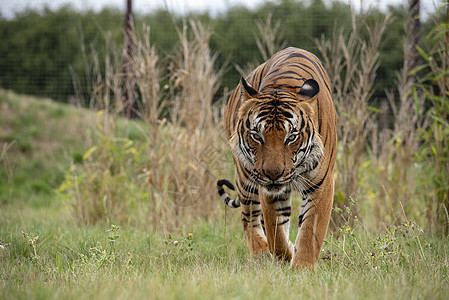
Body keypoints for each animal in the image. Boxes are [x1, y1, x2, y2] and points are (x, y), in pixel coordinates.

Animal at [215, 46, 334, 270]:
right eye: (257, 136)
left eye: (291, 137)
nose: (273, 174)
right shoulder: (268, 190)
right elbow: (275, 233)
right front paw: (285, 256)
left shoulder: (321, 183)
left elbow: (310, 232)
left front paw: (302, 268)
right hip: (245, 178)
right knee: (249, 218)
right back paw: (261, 253)